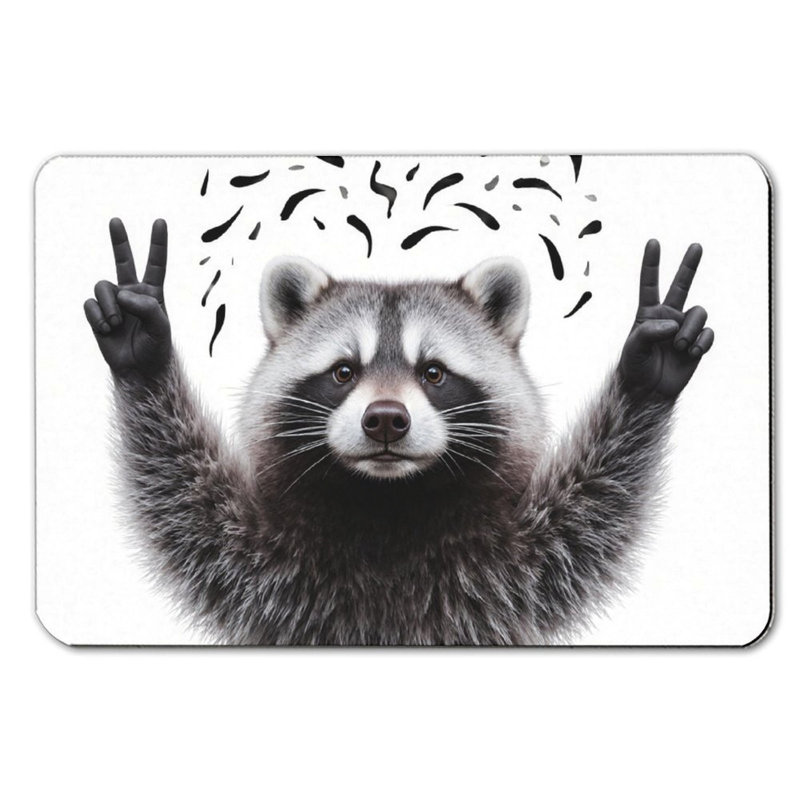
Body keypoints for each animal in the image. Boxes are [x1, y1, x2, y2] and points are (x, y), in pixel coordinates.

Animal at [84, 218, 714, 644]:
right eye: (343, 372)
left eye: (433, 373)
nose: (385, 418)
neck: (389, 505)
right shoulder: (273, 574)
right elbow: (191, 513)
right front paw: (144, 352)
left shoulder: (507, 571)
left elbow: (591, 516)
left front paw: (645, 374)